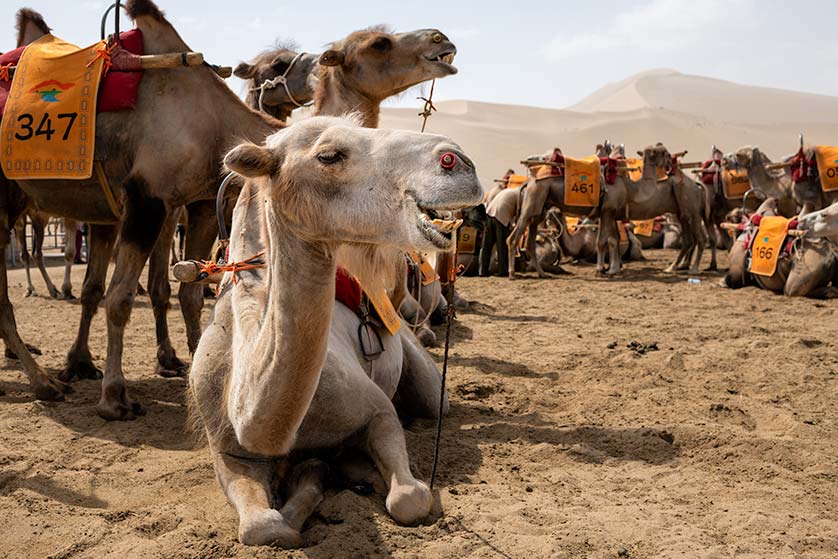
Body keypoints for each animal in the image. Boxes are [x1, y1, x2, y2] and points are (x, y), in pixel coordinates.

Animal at [189, 116, 482, 546]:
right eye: (329, 155)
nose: (455, 159)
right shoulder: (228, 450)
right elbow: (262, 527)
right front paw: (312, 477)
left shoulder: (377, 410)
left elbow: (408, 498)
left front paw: (337, 470)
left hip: (421, 368)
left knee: (433, 401)